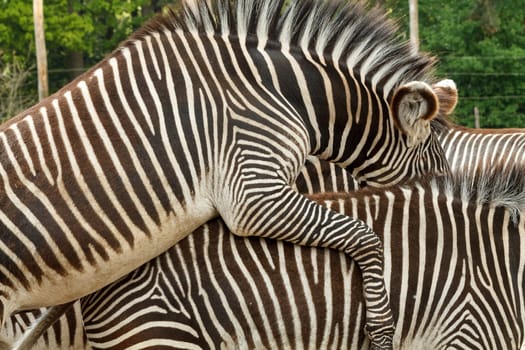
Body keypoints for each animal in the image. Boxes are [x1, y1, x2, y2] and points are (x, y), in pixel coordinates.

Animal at [0, 0, 450, 348]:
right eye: (434, 164)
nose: (450, 192)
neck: (284, 92)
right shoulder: (255, 195)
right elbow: (364, 236)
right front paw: (382, 330)